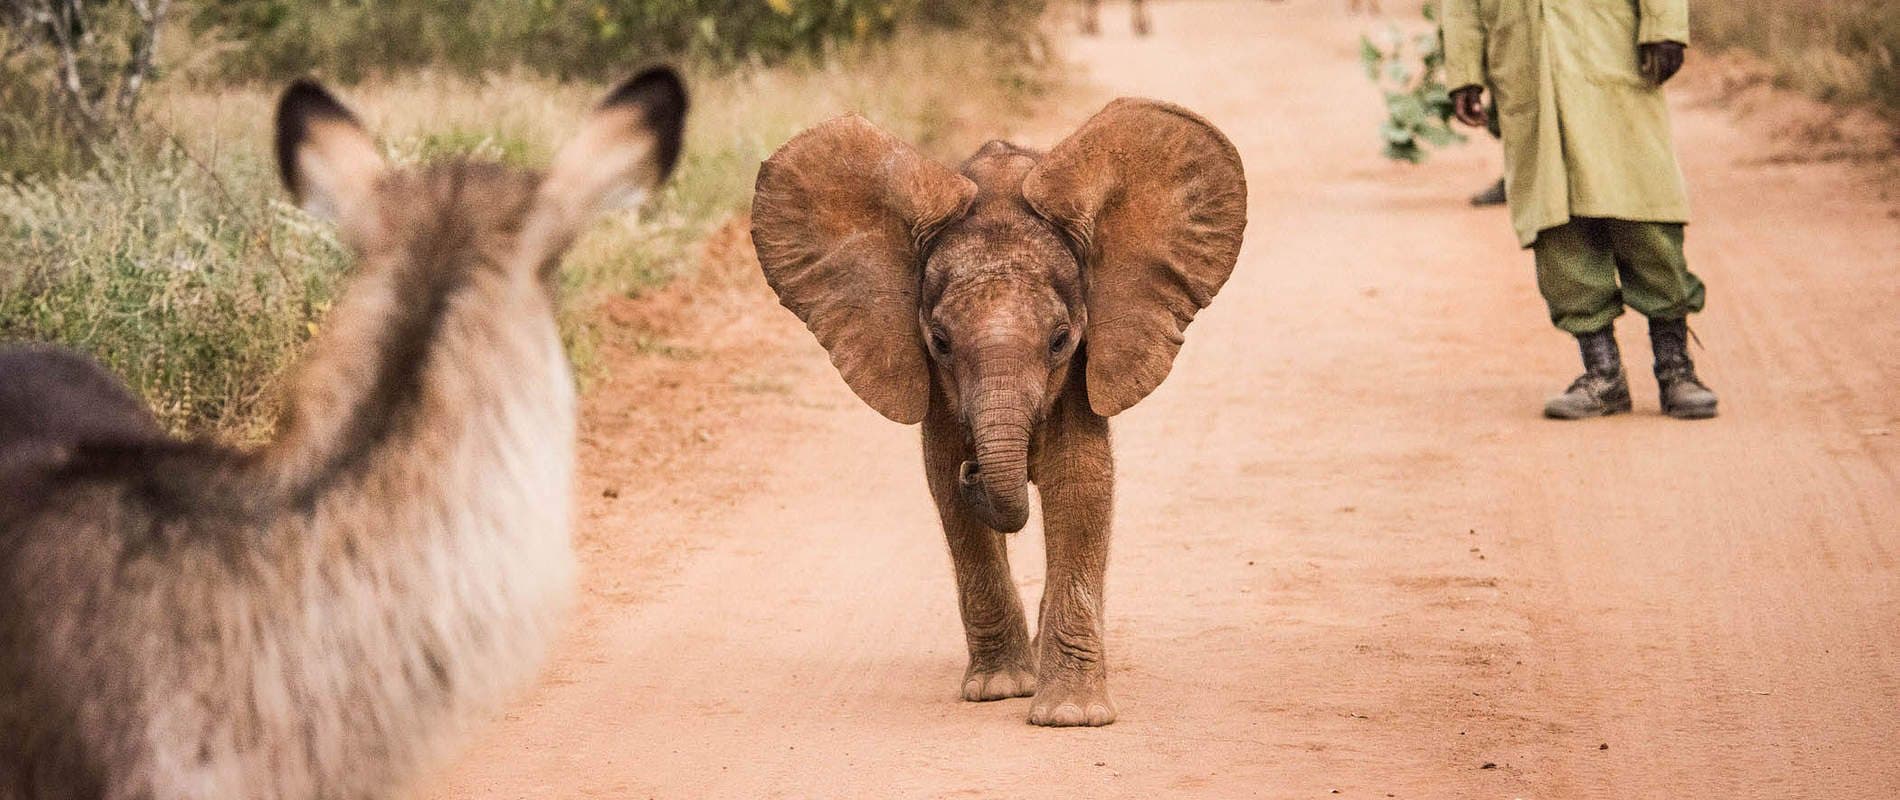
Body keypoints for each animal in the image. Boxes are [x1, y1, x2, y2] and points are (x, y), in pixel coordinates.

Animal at [750, 97, 1247, 726]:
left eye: (1060, 340)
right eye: (939, 342)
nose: (978, 470)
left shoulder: (1081, 372)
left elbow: (1080, 481)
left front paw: (1070, 717)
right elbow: (944, 485)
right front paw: (1001, 689)